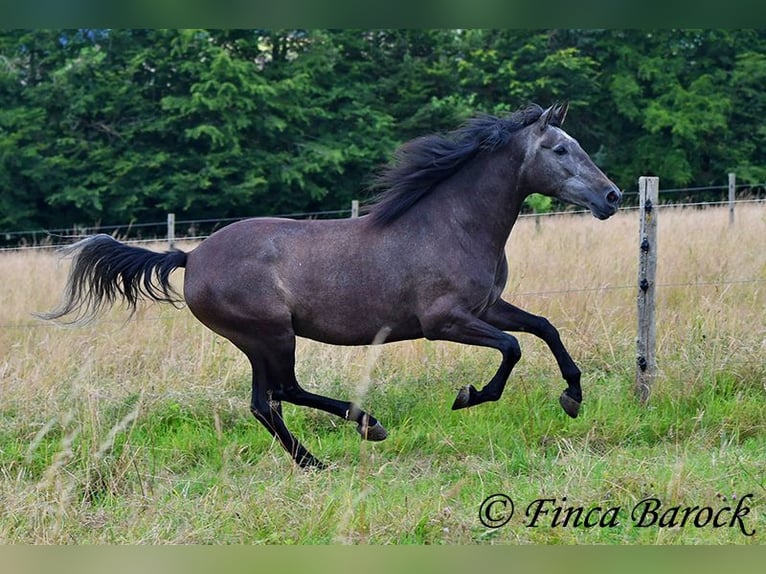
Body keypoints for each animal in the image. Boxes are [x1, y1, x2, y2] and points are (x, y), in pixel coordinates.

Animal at [37, 103, 624, 470]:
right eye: (559, 150)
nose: (613, 197)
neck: (452, 224)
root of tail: (190, 256)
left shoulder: (488, 306)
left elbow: (543, 328)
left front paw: (573, 396)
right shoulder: (443, 321)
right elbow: (512, 347)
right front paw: (470, 396)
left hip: (259, 341)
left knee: (265, 402)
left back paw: (317, 459)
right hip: (270, 335)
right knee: (280, 395)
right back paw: (362, 430)